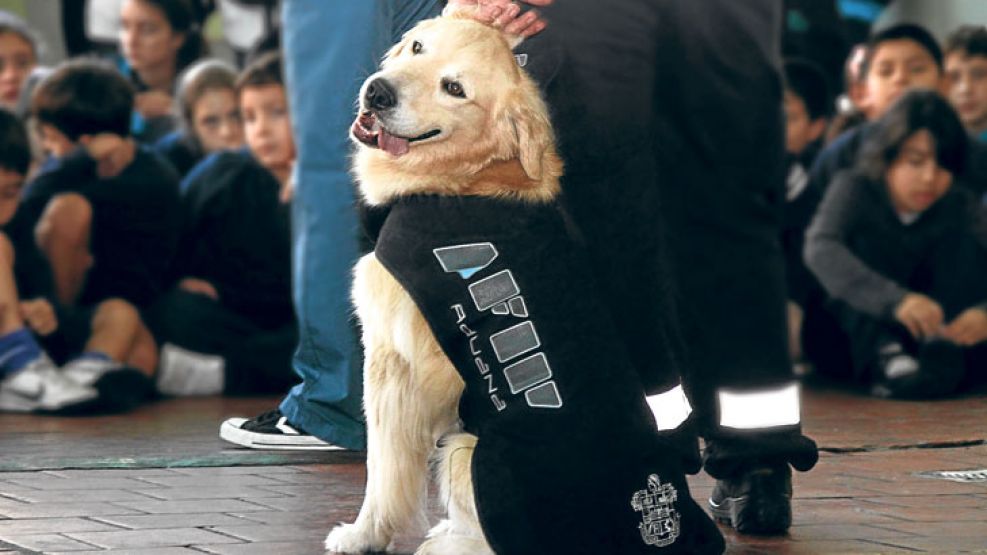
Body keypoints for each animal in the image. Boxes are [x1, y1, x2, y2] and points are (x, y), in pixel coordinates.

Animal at [328, 5, 720, 555]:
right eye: (419, 47)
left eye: (455, 88)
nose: (378, 93)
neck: (467, 179)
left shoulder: (395, 364)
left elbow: (383, 469)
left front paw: (364, 534)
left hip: (467, 451)